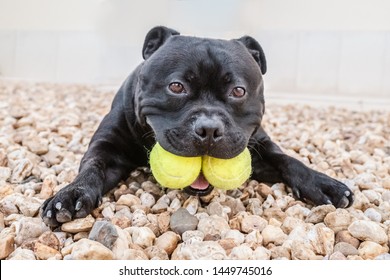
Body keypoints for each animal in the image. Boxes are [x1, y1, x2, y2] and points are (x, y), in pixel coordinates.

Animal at [41, 26, 354, 226]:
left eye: (238, 91)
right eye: (176, 86)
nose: (209, 129)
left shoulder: (259, 149)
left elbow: (288, 160)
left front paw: (323, 183)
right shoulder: (108, 148)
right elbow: (92, 166)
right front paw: (71, 194)